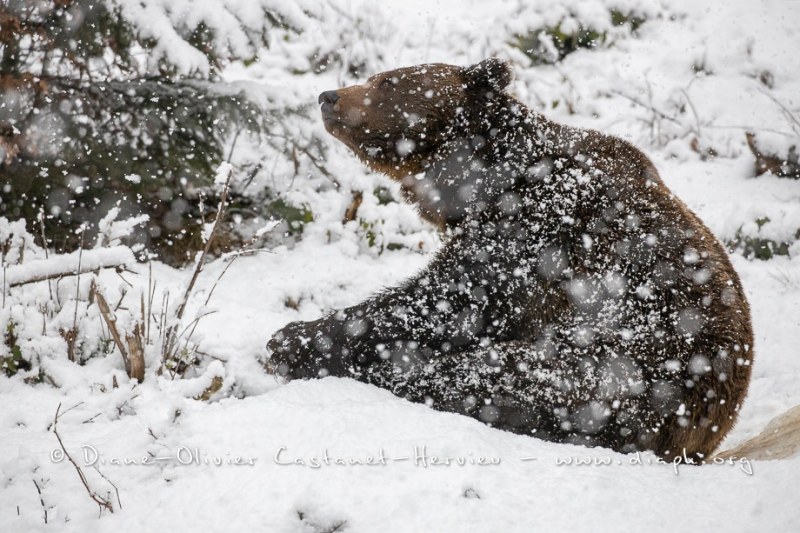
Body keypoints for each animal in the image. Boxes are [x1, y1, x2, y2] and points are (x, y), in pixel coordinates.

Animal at [266, 58, 752, 462]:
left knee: (498, 378)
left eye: (386, 82)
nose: (328, 97)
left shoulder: (540, 233)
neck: (485, 182)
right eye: (374, 75)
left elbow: (454, 302)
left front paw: (295, 339)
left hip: (630, 365)